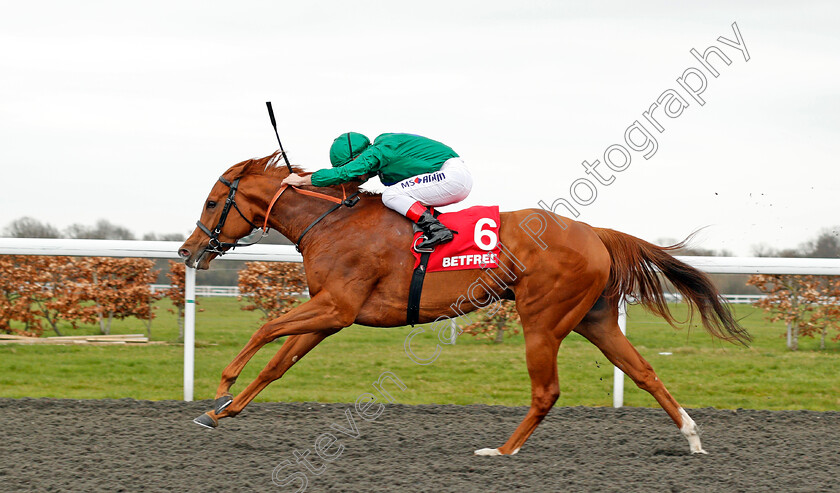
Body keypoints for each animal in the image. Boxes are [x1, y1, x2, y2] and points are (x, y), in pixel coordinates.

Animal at [176, 150, 748, 454]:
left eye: (212, 201)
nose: (187, 251)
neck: (331, 222)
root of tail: (595, 233)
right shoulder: (331, 315)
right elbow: (278, 362)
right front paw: (221, 412)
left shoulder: (337, 307)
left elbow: (263, 331)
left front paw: (221, 390)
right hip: (595, 318)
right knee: (645, 372)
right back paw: (692, 437)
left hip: (542, 319)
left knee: (547, 391)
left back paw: (502, 450)